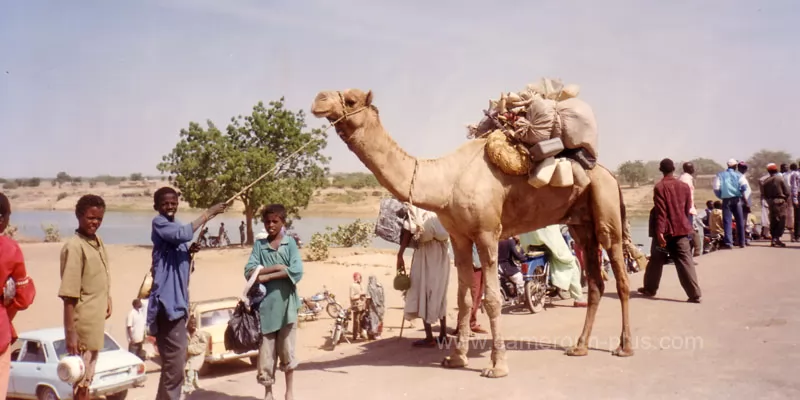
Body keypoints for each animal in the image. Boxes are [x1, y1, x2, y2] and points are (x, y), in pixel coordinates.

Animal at [310, 88, 636, 378]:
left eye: (351, 99)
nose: (319, 99)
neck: (446, 181)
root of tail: (610, 175)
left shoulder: (487, 233)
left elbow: (491, 298)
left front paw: (497, 366)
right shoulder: (460, 237)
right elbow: (464, 298)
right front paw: (456, 358)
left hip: (606, 208)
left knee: (619, 276)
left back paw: (625, 347)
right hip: (581, 224)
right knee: (595, 281)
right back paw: (579, 347)